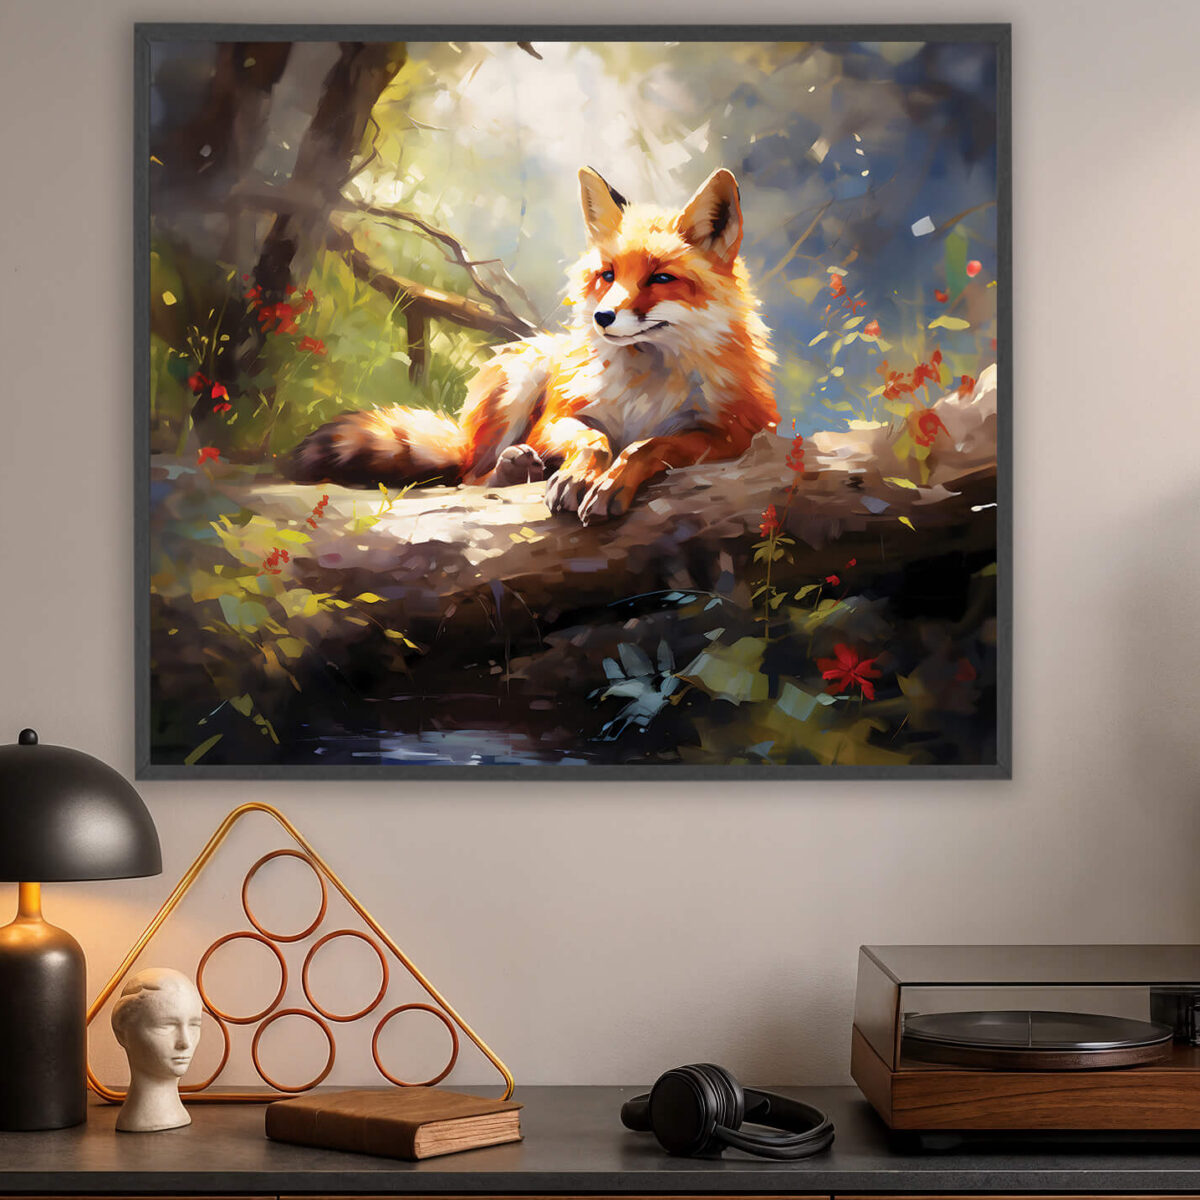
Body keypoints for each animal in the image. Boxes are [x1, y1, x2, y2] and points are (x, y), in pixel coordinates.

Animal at [291, 166, 778, 524]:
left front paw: (613, 481)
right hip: (521, 382)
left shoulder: (737, 433)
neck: (645, 388)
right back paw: (513, 469)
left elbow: (647, 445)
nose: (603, 318)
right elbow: (595, 439)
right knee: (469, 477)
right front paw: (580, 475)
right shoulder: (555, 419)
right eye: (608, 275)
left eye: (660, 278)